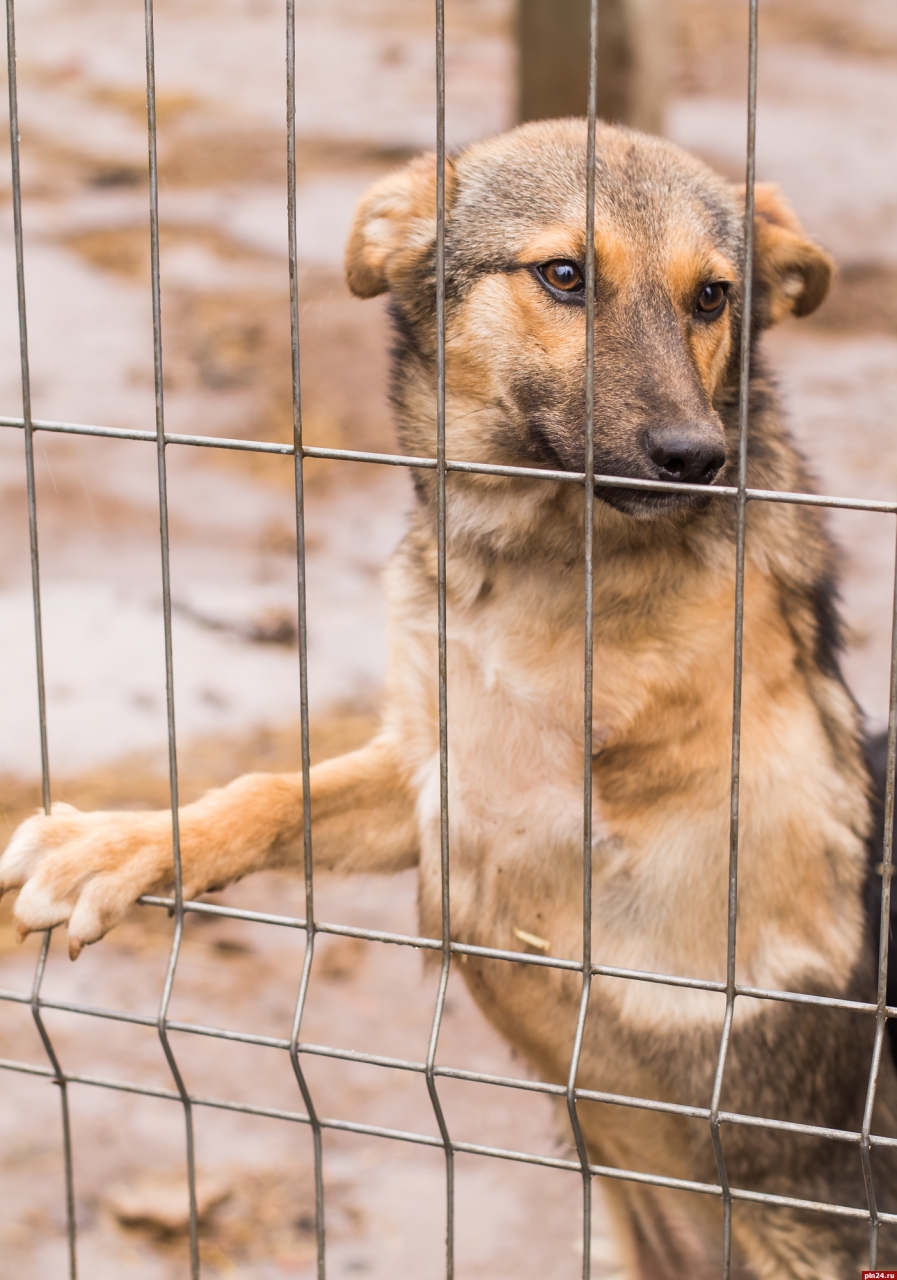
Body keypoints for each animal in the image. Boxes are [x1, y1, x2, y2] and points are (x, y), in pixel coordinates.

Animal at [1, 117, 895, 1269]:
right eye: (563, 275)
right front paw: (117, 844)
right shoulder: (430, 762)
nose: (697, 458)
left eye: (713, 296)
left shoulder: (661, 844)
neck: (544, 557)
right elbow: (269, 793)